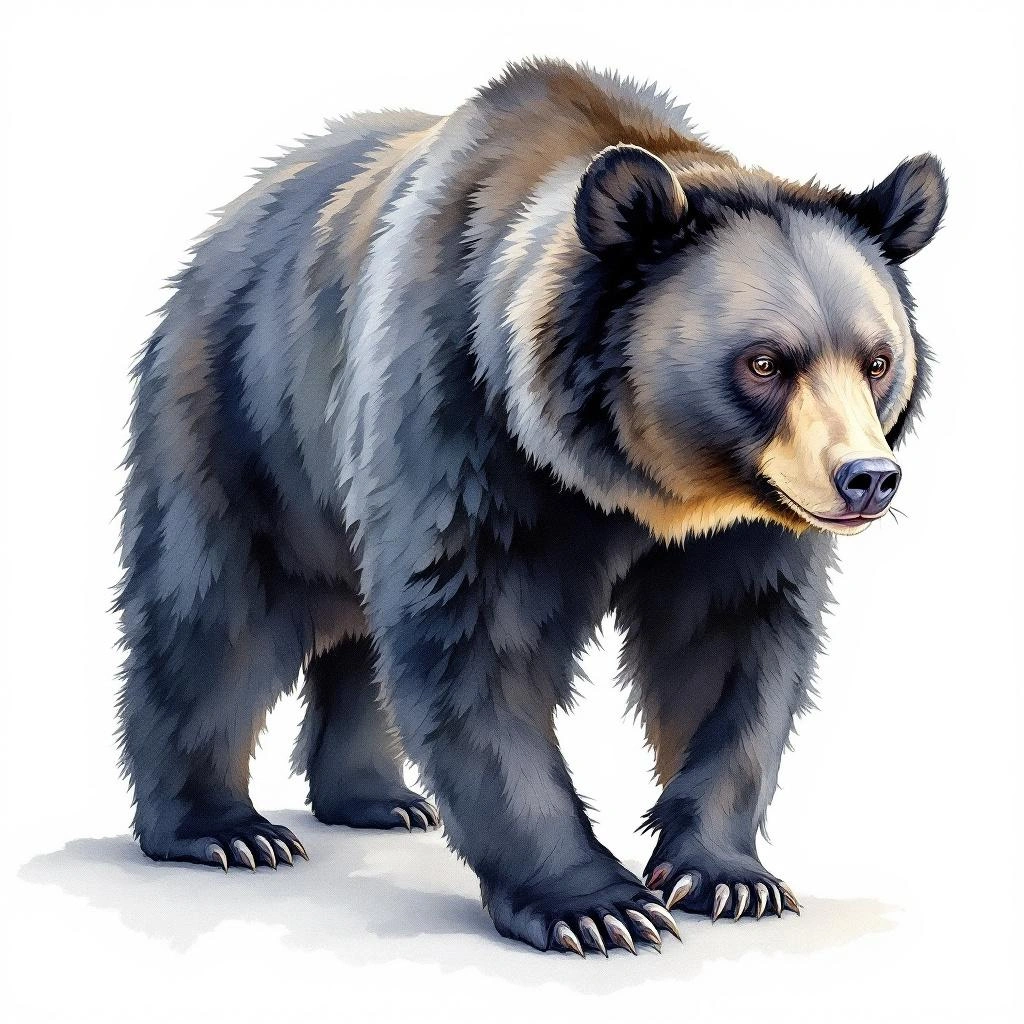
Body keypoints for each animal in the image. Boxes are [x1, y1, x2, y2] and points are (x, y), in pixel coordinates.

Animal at [116, 58, 946, 955]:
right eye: (765, 362)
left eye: (876, 360)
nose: (868, 477)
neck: (630, 475)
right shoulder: (462, 423)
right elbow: (476, 638)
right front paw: (597, 906)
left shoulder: (743, 526)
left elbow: (733, 644)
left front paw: (727, 877)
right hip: (243, 413)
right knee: (215, 609)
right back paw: (222, 829)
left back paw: (376, 799)